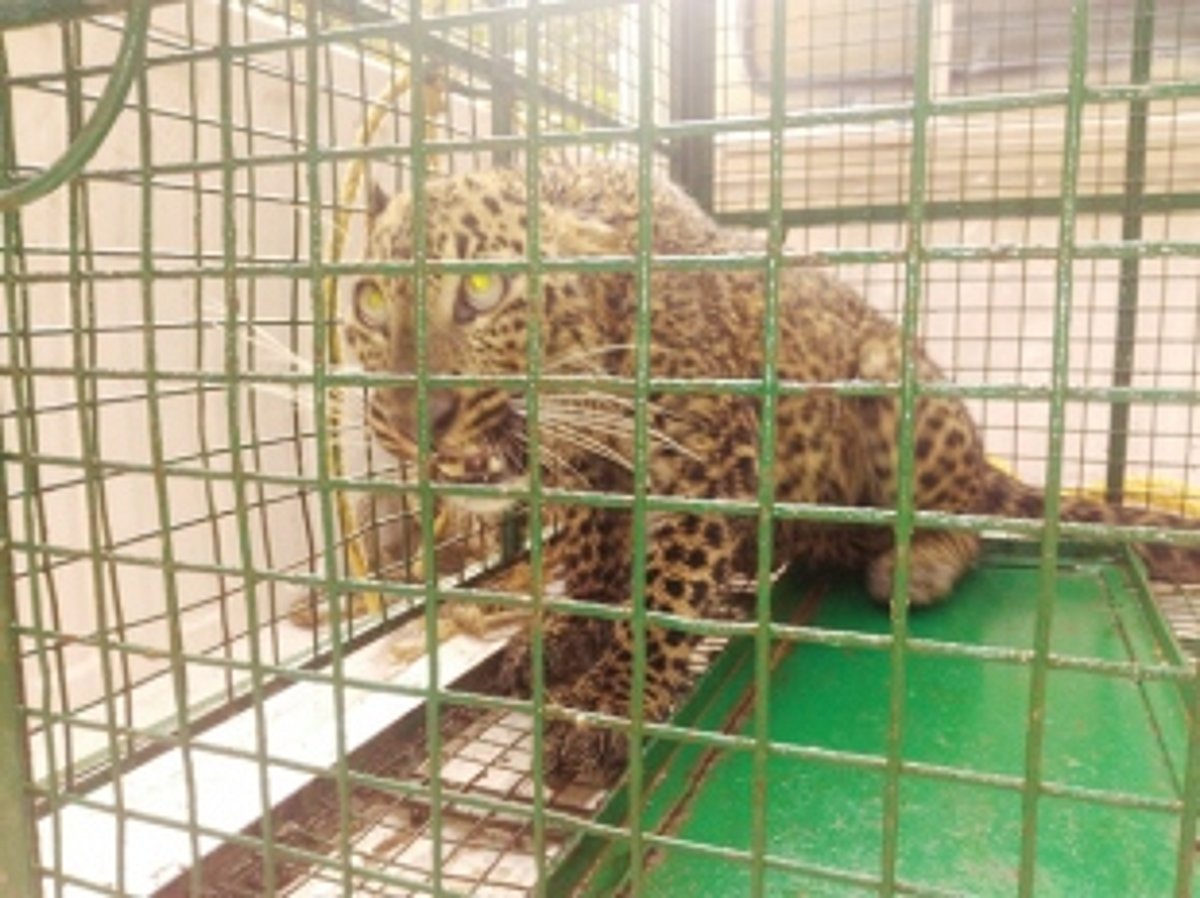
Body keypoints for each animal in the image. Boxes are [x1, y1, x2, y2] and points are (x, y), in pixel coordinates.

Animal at [345, 158, 1200, 784]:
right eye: (369, 299)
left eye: (482, 288)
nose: (408, 415)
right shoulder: (590, 471)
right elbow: (590, 553)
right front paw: (567, 628)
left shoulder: (709, 474)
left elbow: (661, 598)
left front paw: (607, 705)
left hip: (893, 376)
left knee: (967, 520)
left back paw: (914, 565)